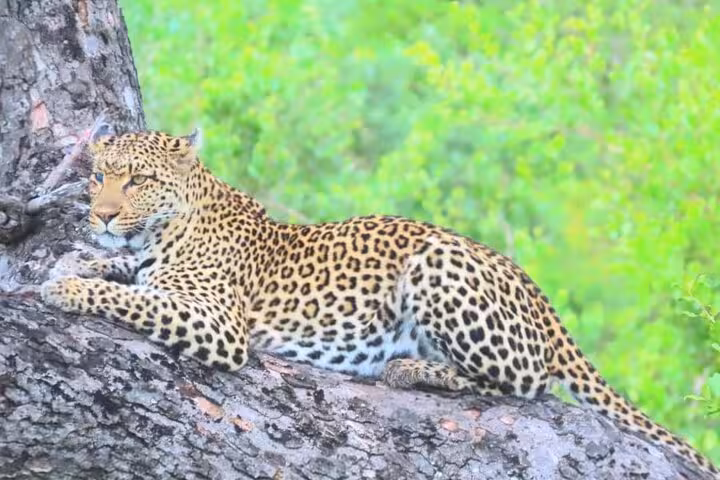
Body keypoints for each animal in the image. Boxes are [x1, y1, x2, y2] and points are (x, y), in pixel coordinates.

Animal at [41, 129, 718, 479]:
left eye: (136, 180)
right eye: (97, 175)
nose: (101, 215)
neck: (166, 229)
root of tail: (529, 281)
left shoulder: (217, 325)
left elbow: (132, 297)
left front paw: (68, 287)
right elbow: (122, 274)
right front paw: (76, 264)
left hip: (436, 266)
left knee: (529, 381)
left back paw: (409, 368)